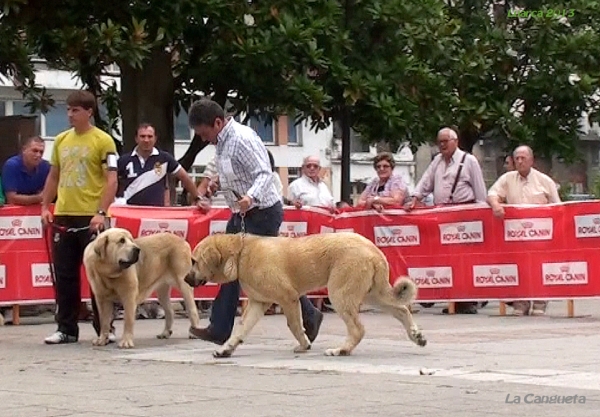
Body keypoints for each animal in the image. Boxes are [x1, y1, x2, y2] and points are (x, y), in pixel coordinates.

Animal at [188, 231, 426, 358]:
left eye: (194, 261)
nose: (186, 279)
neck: (240, 253)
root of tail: (373, 249)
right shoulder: (258, 303)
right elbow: (240, 330)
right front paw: (226, 349)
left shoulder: (288, 298)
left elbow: (294, 325)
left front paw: (304, 344)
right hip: (372, 294)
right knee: (401, 309)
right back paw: (417, 336)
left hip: (340, 294)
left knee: (358, 329)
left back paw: (341, 350)